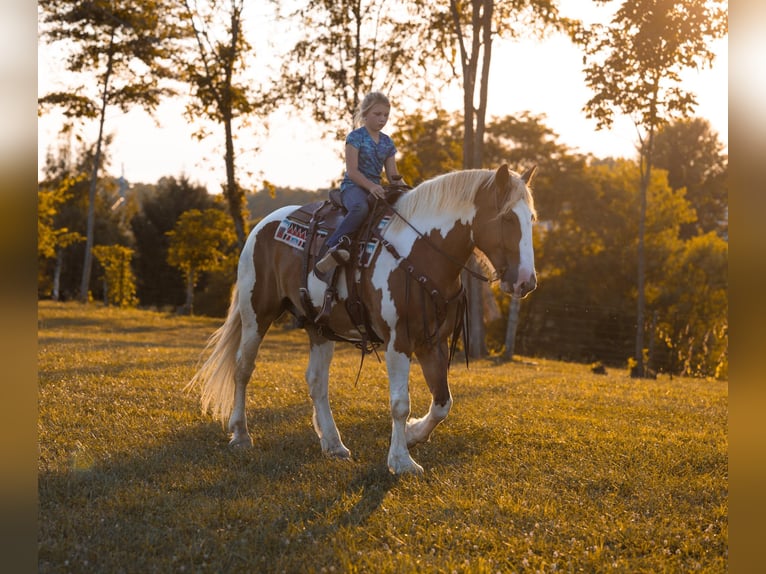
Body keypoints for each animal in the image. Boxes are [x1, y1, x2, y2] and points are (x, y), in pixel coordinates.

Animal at [187, 164, 537, 474]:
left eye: (532, 219)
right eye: (507, 217)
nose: (526, 282)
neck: (419, 253)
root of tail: (263, 226)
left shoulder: (432, 341)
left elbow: (442, 403)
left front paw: (413, 435)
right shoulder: (399, 340)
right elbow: (400, 402)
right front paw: (401, 461)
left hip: (319, 326)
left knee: (316, 381)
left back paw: (333, 443)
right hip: (256, 315)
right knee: (243, 368)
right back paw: (241, 434)